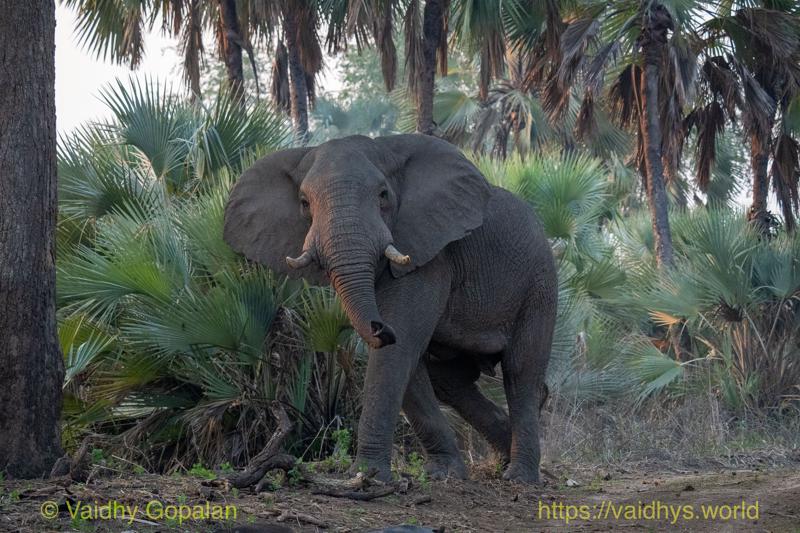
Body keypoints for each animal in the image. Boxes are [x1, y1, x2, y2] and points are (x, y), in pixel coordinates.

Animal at [223, 134, 557, 483]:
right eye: (304, 203)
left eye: (383, 195)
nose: (379, 326)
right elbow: (408, 358)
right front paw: (443, 473)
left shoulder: (430, 254)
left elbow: (403, 345)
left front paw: (368, 475)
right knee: (448, 379)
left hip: (539, 285)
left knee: (521, 371)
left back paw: (520, 476)